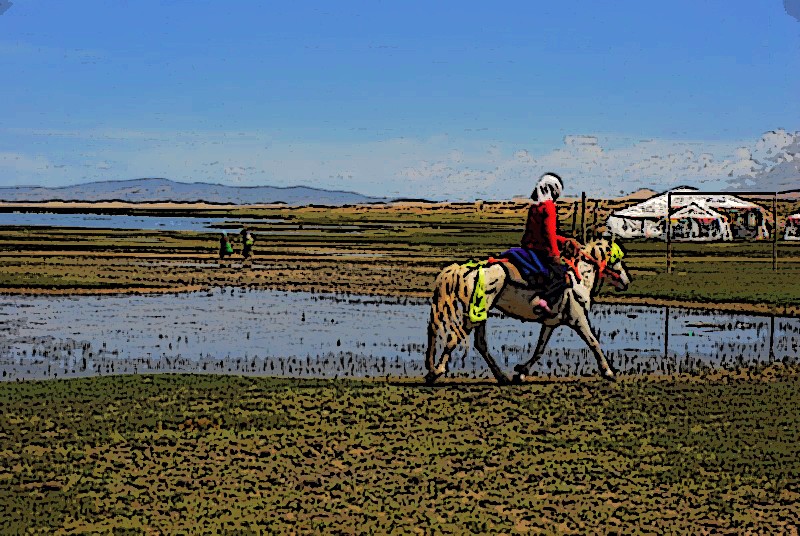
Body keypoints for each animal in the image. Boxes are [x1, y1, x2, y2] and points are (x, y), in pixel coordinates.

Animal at [424, 240, 632, 386]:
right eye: (616, 259)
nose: (626, 281)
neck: (577, 279)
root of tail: (469, 270)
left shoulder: (550, 323)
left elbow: (539, 349)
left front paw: (521, 373)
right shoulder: (578, 318)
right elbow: (594, 342)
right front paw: (608, 372)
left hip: (480, 314)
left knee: (479, 344)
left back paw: (501, 377)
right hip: (474, 316)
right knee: (454, 338)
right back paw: (436, 372)